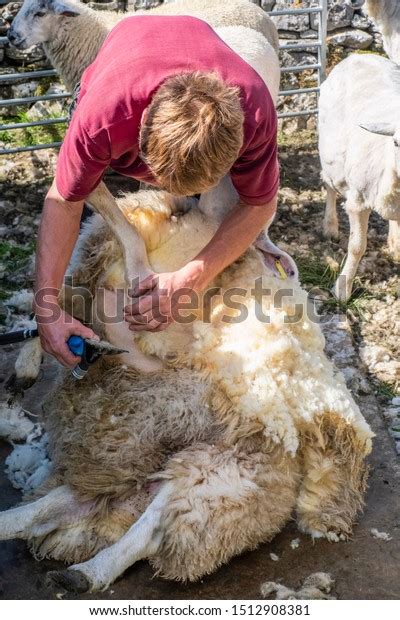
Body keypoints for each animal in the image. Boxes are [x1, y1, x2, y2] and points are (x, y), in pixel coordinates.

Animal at [0, 188, 376, 592]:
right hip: (129, 480)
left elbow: (129, 251)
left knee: (149, 532)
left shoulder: (148, 320)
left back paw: (86, 574)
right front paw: (29, 359)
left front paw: (97, 194)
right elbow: (57, 302)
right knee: (49, 511)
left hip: (210, 479)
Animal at [318, 54, 400, 302]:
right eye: (396, 142)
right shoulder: (358, 201)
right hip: (332, 157)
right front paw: (342, 289)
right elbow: (357, 247)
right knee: (330, 187)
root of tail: (359, 55)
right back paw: (330, 227)